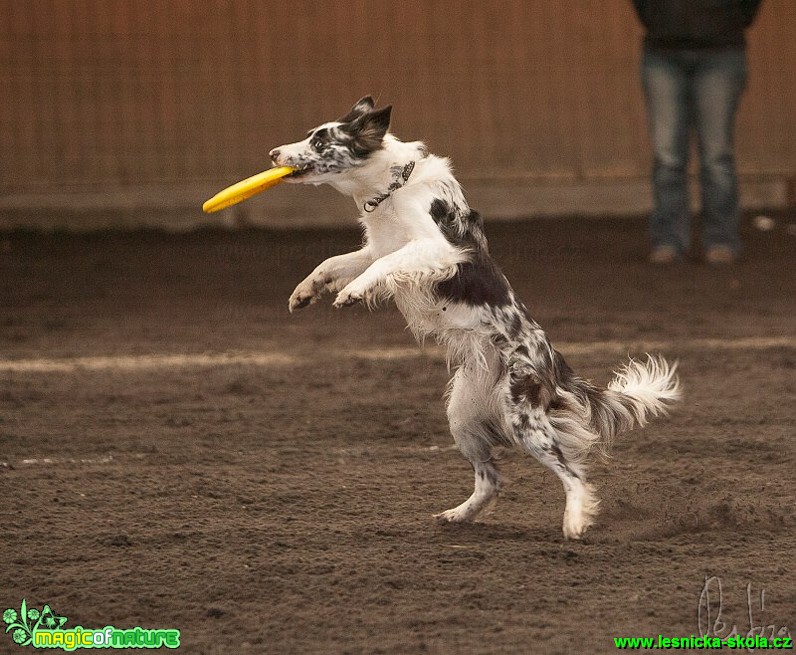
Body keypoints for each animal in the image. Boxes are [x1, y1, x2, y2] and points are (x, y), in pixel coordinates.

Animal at [270, 96, 680, 540]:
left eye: (320, 141)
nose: (273, 154)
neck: (392, 188)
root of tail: (554, 363)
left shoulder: (435, 248)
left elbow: (380, 267)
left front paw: (352, 293)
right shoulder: (378, 247)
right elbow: (334, 262)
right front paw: (304, 292)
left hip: (524, 419)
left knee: (572, 473)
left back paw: (574, 522)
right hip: (462, 415)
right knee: (491, 478)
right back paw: (458, 515)